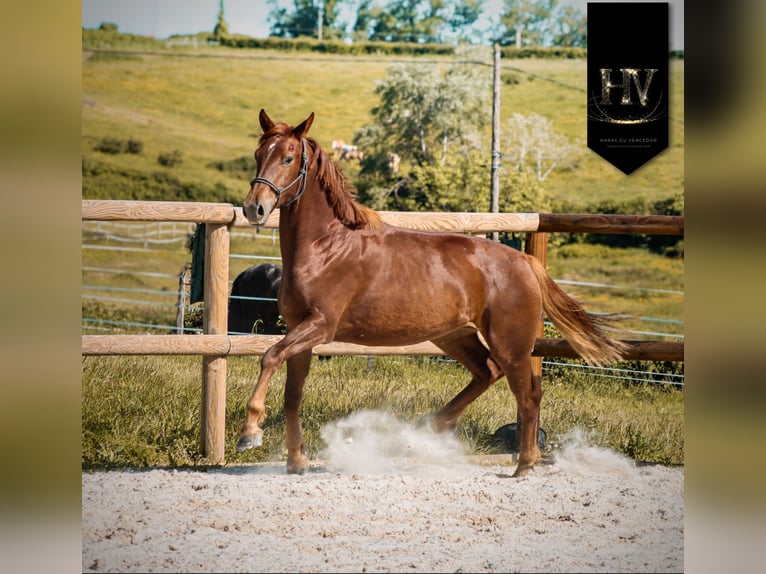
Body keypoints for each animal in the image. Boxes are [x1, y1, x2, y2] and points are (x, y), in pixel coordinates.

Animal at [238, 109, 627, 477]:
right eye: (258, 154)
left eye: (288, 158)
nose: (254, 208)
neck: (325, 247)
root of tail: (526, 261)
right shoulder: (300, 331)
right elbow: (292, 395)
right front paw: (296, 461)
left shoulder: (321, 325)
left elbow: (269, 356)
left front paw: (250, 432)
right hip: (455, 337)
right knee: (487, 373)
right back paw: (437, 428)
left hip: (511, 344)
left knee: (527, 394)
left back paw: (524, 464)